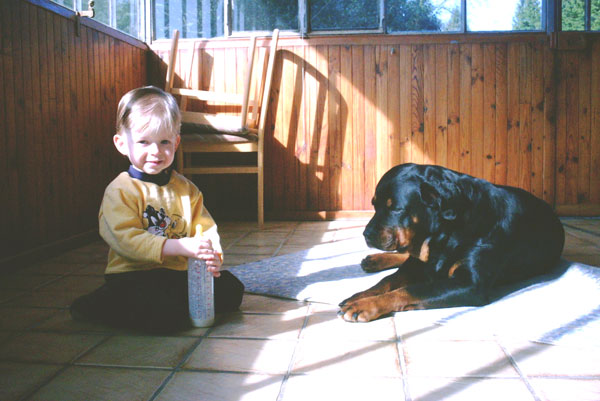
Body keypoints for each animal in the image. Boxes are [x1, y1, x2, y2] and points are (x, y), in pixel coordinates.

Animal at [340, 162, 564, 322]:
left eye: (395, 208)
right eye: (374, 205)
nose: (366, 234)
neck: (447, 230)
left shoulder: (470, 284)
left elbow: (409, 290)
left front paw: (365, 304)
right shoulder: (419, 260)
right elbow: (389, 280)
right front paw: (361, 295)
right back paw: (374, 260)